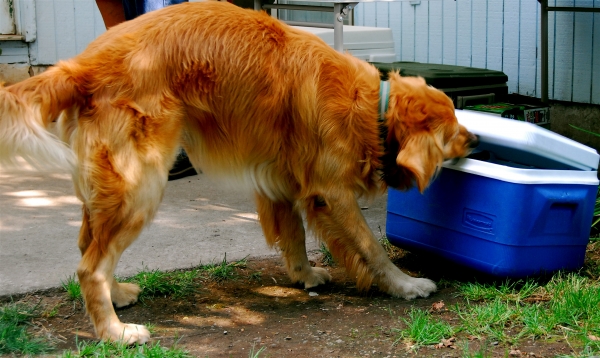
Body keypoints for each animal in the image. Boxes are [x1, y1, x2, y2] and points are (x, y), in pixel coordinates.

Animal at [0, 1, 478, 346]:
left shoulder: (285, 183)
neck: (371, 108)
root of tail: (82, 64)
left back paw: (117, 297)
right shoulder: (332, 192)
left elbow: (295, 235)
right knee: (89, 267)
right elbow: (370, 247)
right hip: (141, 186)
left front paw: (304, 276)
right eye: (453, 130)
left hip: (111, 189)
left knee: (88, 246)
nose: (476, 139)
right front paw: (404, 284)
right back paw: (115, 332)